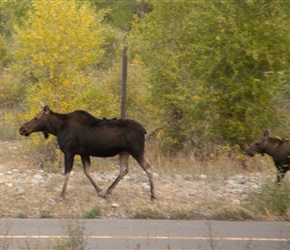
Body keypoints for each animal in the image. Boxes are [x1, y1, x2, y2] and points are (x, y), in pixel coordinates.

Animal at [19, 104, 156, 200]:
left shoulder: (69, 151)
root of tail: (144, 131)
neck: (57, 128)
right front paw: (99, 190)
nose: (22, 129)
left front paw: (62, 194)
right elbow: (87, 171)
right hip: (124, 152)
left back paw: (153, 195)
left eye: (37, 118)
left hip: (136, 150)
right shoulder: (83, 153)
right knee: (124, 169)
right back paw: (108, 192)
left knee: (148, 168)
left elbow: (67, 173)